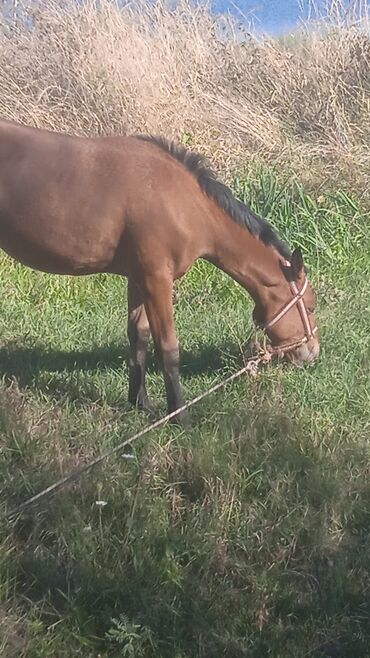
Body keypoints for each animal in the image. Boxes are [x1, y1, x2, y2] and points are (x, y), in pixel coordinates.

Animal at [0, 120, 318, 422]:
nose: (312, 352)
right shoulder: (157, 280)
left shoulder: (138, 279)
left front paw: (139, 402)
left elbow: (138, 337)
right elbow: (168, 348)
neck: (184, 203)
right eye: (311, 306)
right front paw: (179, 415)